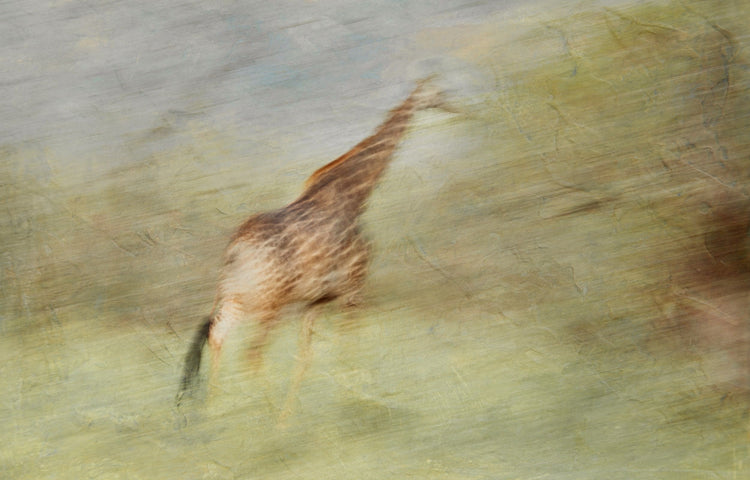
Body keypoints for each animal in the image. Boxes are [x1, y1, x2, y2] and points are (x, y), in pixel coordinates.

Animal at [176, 77, 451, 416]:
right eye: (439, 92)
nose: (455, 105)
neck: (353, 197)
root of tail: (235, 249)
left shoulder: (316, 301)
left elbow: (306, 356)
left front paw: (293, 415)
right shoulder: (354, 290)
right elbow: (350, 345)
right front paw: (352, 405)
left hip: (236, 298)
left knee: (217, 337)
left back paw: (214, 414)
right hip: (271, 303)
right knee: (251, 353)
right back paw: (265, 416)